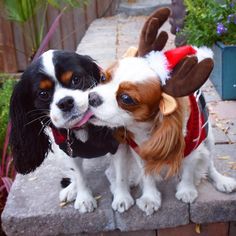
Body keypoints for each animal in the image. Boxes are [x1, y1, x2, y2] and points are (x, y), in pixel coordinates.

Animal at [86, 9, 236, 216]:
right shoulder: (140, 150)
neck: (148, 128)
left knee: (210, 163)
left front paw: (187, 190)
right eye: (103, 77)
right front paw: (150, 197)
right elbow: (146, 173)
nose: (91, 97)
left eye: (126, 99)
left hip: (209, 137)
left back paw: (221, 180)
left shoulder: (193, 144)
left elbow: (189, 168)